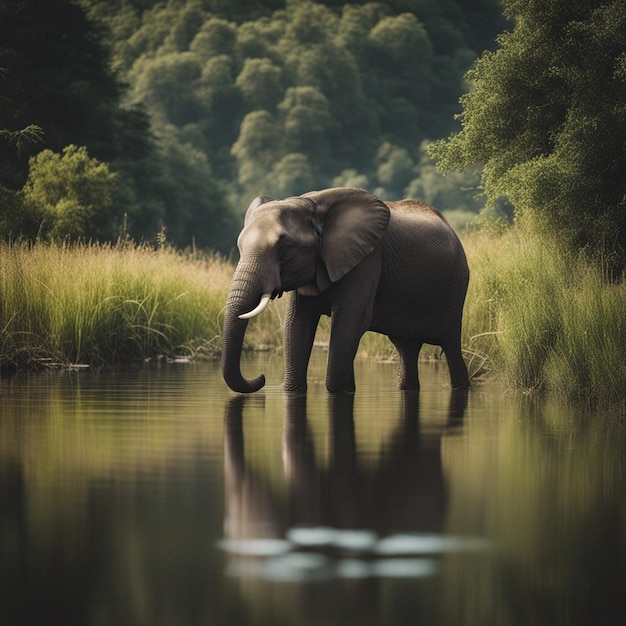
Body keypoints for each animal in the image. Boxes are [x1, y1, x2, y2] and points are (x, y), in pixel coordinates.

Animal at [221, 185, 468, 392]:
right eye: (239, 247)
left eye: (287, 247)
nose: (261, 377)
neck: (309, 204)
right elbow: (297, 324)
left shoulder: (368, 259)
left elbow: (349, 322)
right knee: (406, 348)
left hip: (456, 285)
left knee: (451, 347)